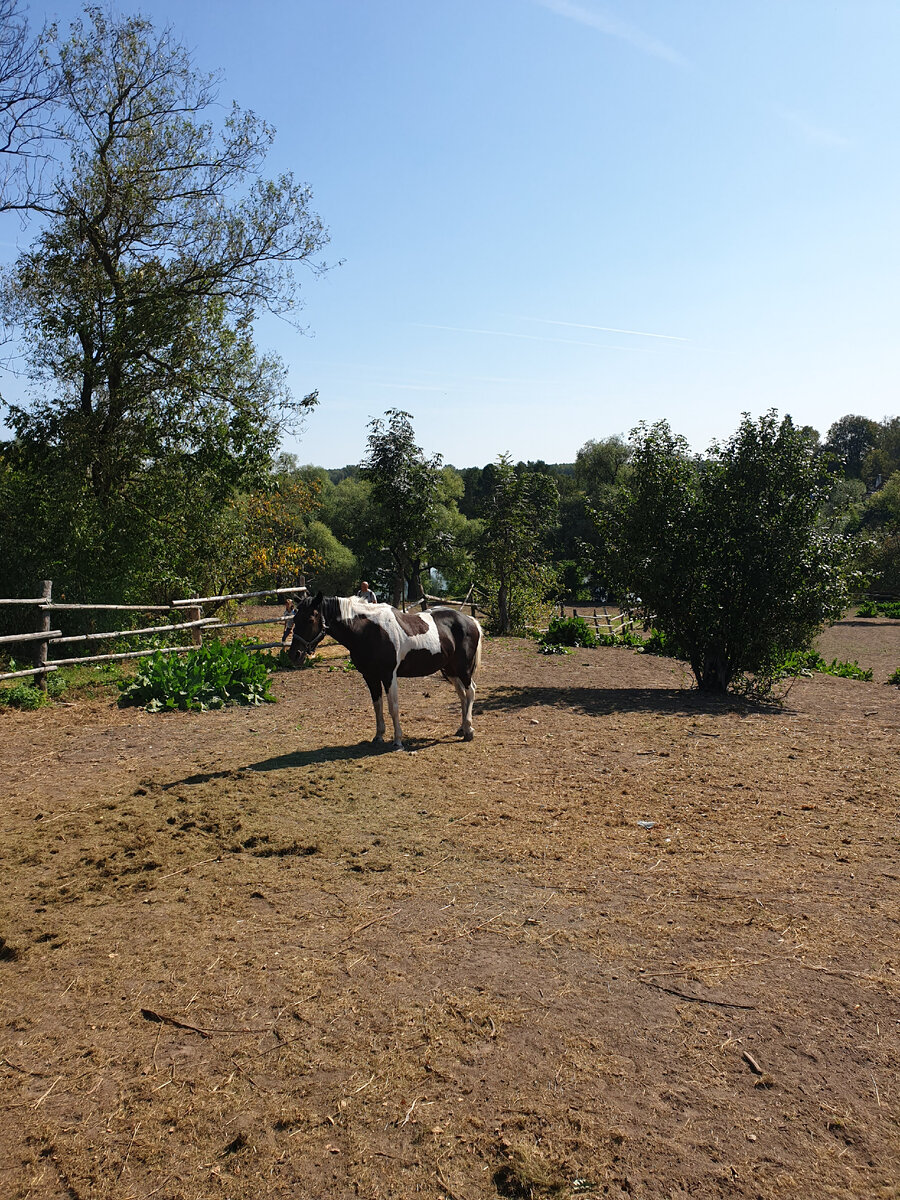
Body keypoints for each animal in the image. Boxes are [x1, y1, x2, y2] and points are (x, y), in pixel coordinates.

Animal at [288, 592, 483, 750]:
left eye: (310, 619)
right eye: (295, 619)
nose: (294, 655)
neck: (369, 631)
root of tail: (469, 620)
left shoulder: (389, 676)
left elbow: (393, 707)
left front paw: (397, 741)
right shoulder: (370, 676)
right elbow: (377, 706)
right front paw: (378, 736)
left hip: (463, 669)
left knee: (470, 691)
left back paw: (469, 730)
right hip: (450, 669)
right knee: (462, 694)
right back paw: (462, 728)